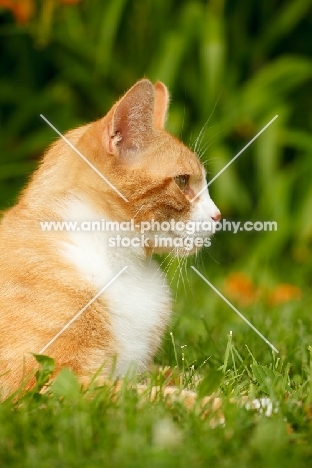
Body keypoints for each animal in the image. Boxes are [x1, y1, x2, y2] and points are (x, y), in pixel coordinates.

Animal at [0, 79, 221, 394]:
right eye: (182, 182)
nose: (218, 215)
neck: (125, 264)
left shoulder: (139, 370)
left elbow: (197, 379)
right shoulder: (49, 382)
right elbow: (159, 397)